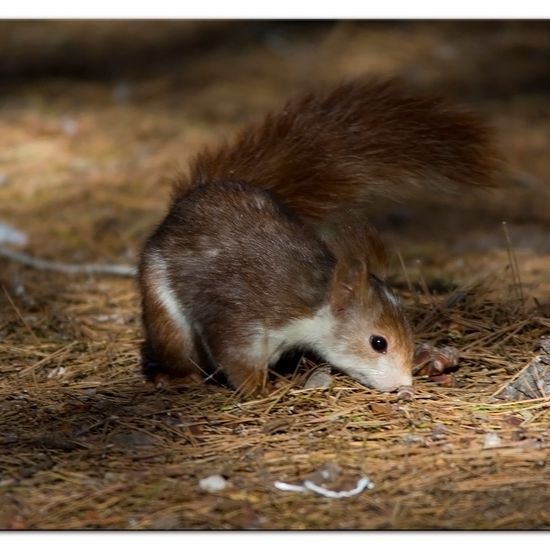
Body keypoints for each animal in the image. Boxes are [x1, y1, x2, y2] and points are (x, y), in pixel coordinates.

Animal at [138, 76, 500, 396]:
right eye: (378, 342)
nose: (402, 384)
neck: (312, 303)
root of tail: (186, 201)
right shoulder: (243, 320)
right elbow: (235, 359)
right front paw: (263, 389)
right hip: (165, 313)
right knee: (176, 348)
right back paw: (178, 378)